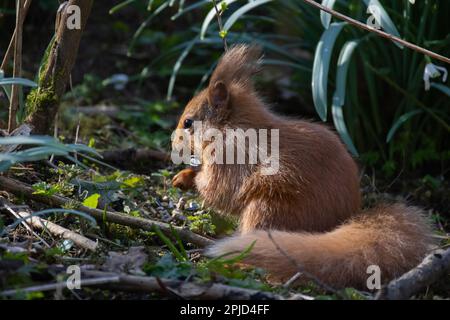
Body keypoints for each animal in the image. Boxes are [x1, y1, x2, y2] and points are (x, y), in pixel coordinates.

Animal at [171, 44, 434, 288]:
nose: (172, 143)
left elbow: (219, 191)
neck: (232, 127)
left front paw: (187, 177)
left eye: (188, 122)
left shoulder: (230, 157)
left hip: (267, 209)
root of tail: (341, 220)